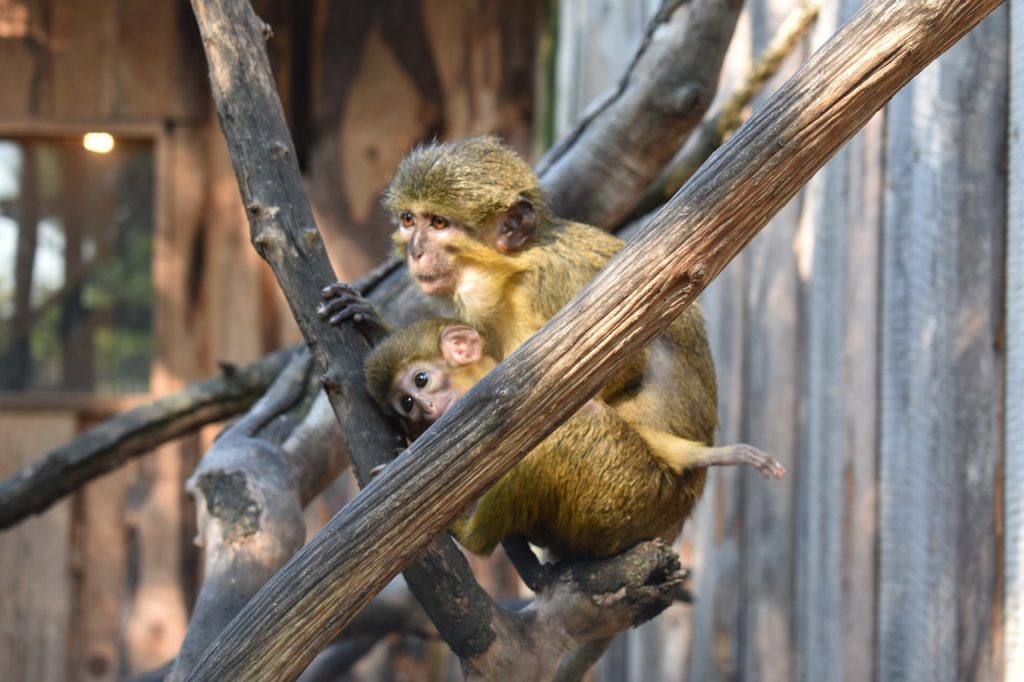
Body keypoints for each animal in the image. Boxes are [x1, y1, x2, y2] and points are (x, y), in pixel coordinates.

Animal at [362, 318, 784, 559]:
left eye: (420, 381)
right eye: (406, 404)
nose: (425, 409)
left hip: (627, 498)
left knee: (556, 434)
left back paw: (470, 538)